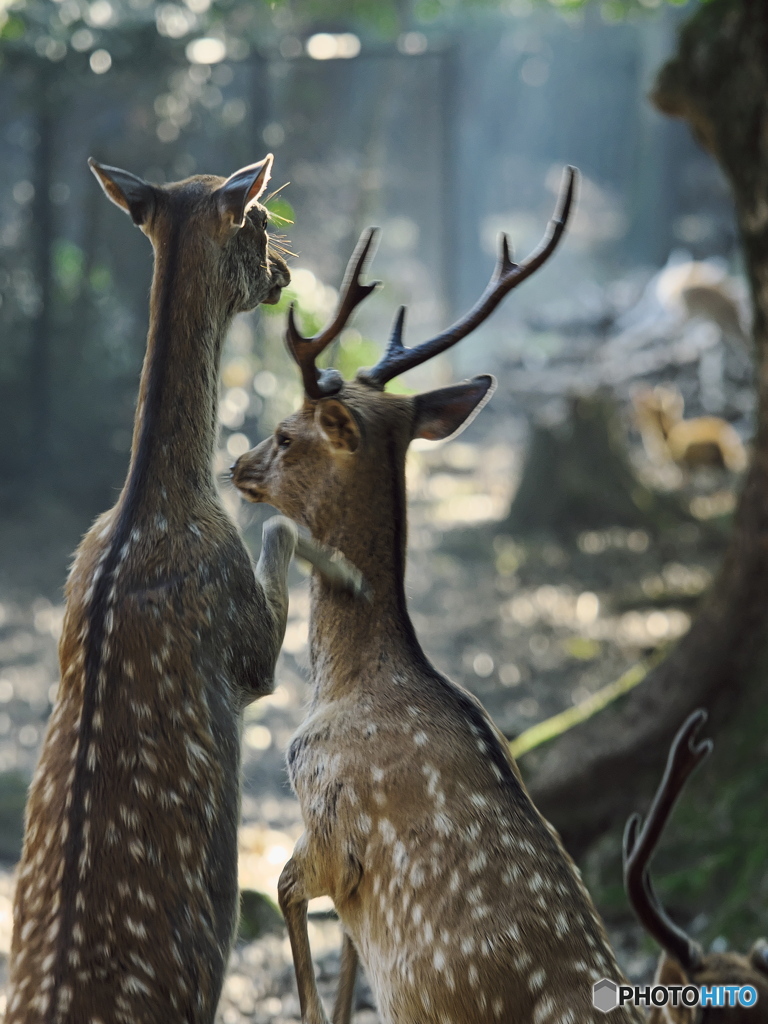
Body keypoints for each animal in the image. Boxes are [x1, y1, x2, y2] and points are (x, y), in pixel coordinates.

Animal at [5, 153, 366, 1024]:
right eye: (260, 221)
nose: (284, 272)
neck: (153, 506)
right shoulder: (243, 638)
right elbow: (275, 532)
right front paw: (348, 567)